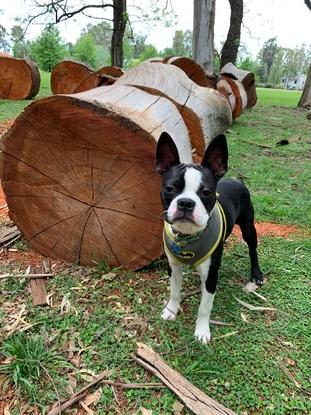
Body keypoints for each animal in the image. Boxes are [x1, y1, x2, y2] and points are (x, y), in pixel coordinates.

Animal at [156, 132, 264, 344]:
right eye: (170, 189)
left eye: (205, 193)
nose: (185, 202)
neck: (187, 236)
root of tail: (236, 180)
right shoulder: (173, 267)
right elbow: (174, 292)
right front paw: (171, 310)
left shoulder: (210, 276)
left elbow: (204, 307)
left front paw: (202, 331)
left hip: (248, 228)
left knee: (252, 249)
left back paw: (256, 274)